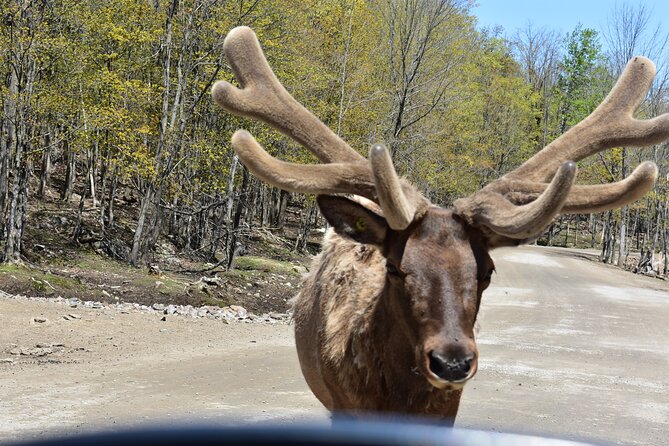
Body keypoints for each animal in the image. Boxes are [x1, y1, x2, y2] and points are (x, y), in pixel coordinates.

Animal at [213, 26, 668, 424]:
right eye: (394, 267)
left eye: (486, 272)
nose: (451, 363)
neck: (396, 400)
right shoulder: (345, 404)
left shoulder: (445, 411)